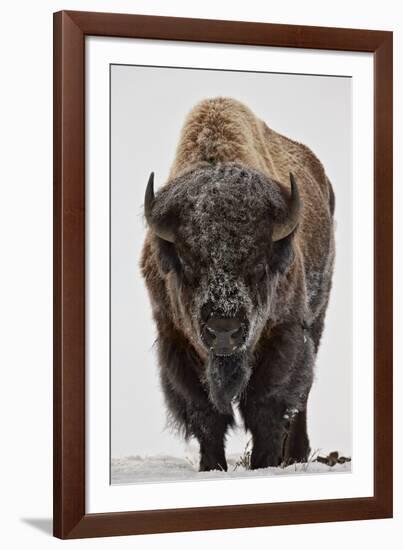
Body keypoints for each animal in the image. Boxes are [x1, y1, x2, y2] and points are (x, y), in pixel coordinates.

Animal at [140, 97, 336, 472]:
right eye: (187, 262)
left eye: (258, 264)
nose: (223, 330)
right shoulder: (175, 340)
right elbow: (205, 413)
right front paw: (211, 467)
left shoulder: (284, 333)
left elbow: (267, 405)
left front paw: (264, 464)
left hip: (317, 318)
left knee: (302, 395)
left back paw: (296, 455)